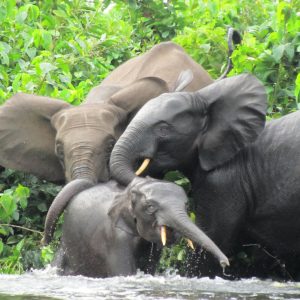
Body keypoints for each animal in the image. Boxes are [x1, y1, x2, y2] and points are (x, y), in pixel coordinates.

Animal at [54, 177, 229, 278]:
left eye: (186, 206)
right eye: (150, 207)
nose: (225, 263)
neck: (127, 194)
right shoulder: (115, 239)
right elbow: (124, 273)